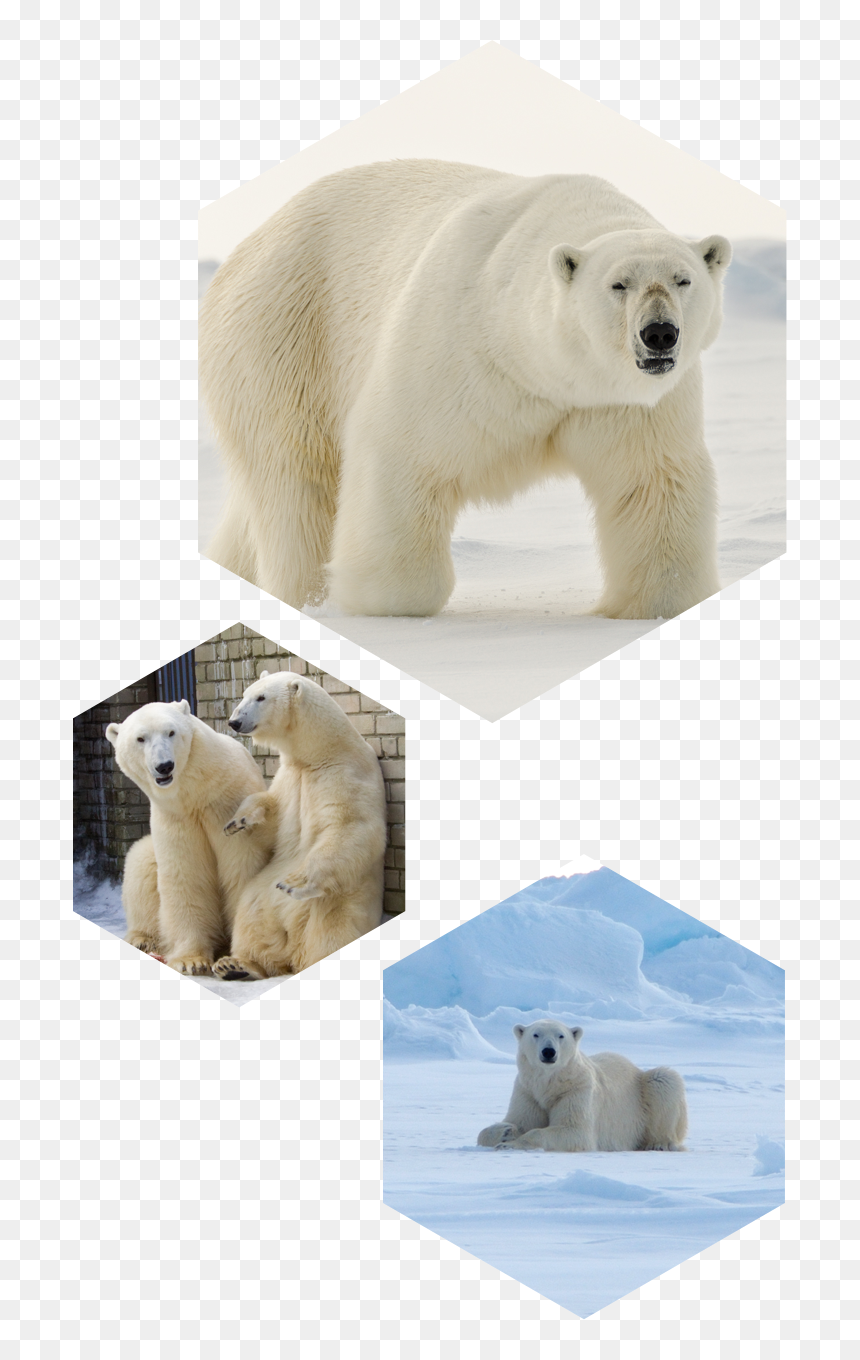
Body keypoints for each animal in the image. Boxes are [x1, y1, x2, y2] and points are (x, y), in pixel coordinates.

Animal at [106, 700, 275, 975]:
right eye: (140, 738)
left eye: (171, 732)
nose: (164, 766)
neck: (195, 794)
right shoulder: (175, 818)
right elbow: (184, 873)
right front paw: (191, 960)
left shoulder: (228, 804)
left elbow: (243, 867)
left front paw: (240, 960)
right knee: (141, 863)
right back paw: (143, 939)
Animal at [199, 159, 731, 621]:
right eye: (618, 284)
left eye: (682, 280)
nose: (659, 333)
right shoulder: (458, 349)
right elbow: (403, 455)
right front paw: (377, 598)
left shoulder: (623, 403)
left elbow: (651, 480)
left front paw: (652, 603)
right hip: (285, 337)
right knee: (297, 481)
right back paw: (310, 595)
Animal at [209, 669, 388, 980]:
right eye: (245, 693)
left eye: (261, 697)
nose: (234, 721)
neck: (320, 753)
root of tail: (293, 951)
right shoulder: (291, 777)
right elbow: (274, 816)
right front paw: (237, 820)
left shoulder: (345, 775)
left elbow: (352, 828)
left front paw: (295, 881)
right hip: (261, 894)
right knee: (251, 920)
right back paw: (237, 965)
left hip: (342, 899)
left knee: (331, 931)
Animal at [477, 1020, 688, 1152]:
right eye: (535, 1034)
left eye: (561, 1036)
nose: (549, 1051)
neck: (550, 1084)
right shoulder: (528, 1091)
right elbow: (514, 1121)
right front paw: (506, 1131)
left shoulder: (576, 1090)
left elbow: (575, 1130)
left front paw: (509, 1144)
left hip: (644, 1090)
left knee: (664, 1080)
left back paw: (659, 1144)